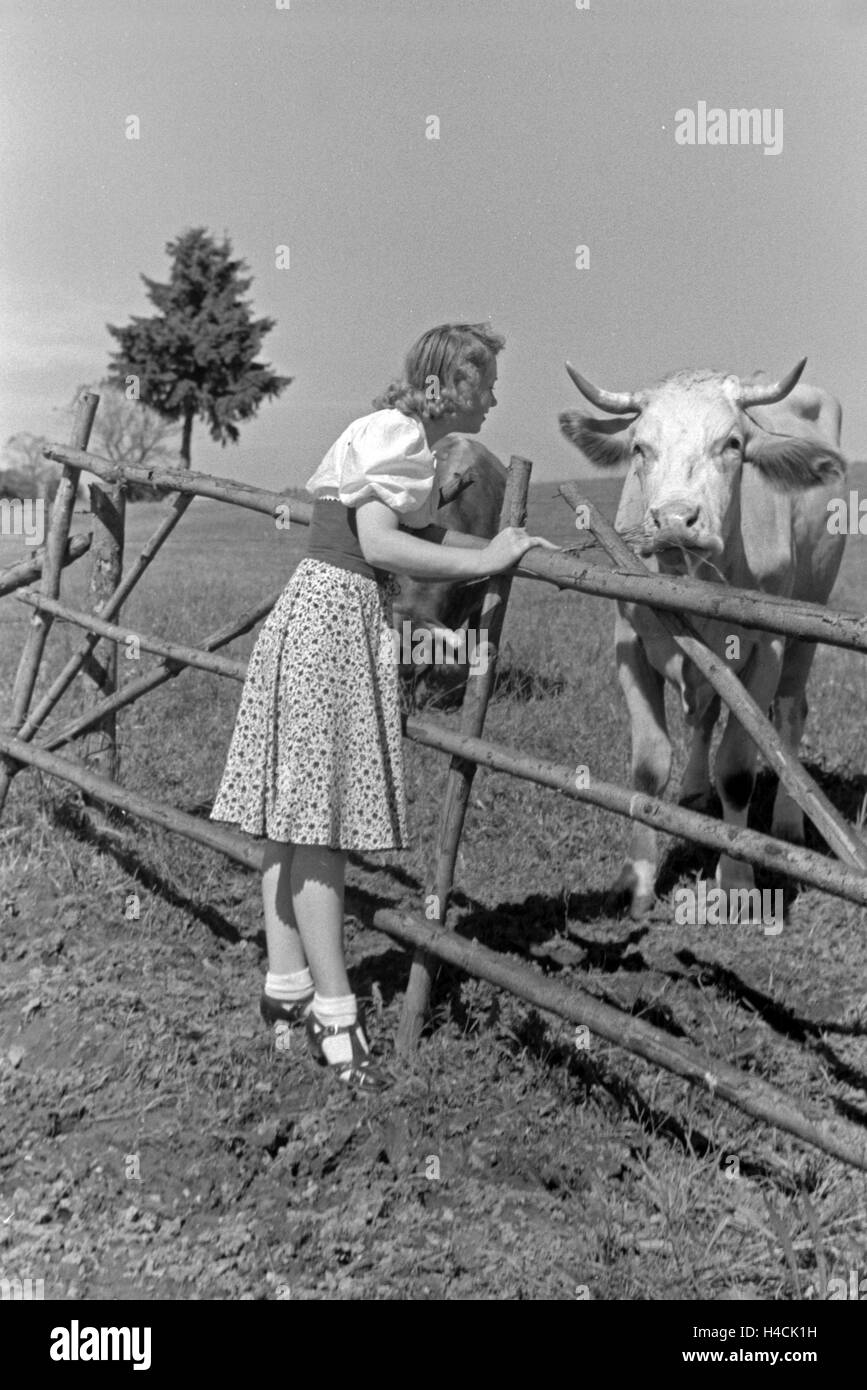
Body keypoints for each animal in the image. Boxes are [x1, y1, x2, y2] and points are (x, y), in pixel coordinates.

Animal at [558, 361, 850, 911]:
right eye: (639, 447)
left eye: (732, 444)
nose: (675, 520)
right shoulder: (629, 644)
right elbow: (649, 765)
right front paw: (637, 877)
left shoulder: (766, 650)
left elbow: (736, 771)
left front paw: (735, 879)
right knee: (707, 714)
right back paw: (694, 791)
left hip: (809, 622)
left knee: (790, 714)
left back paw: (788, 821)